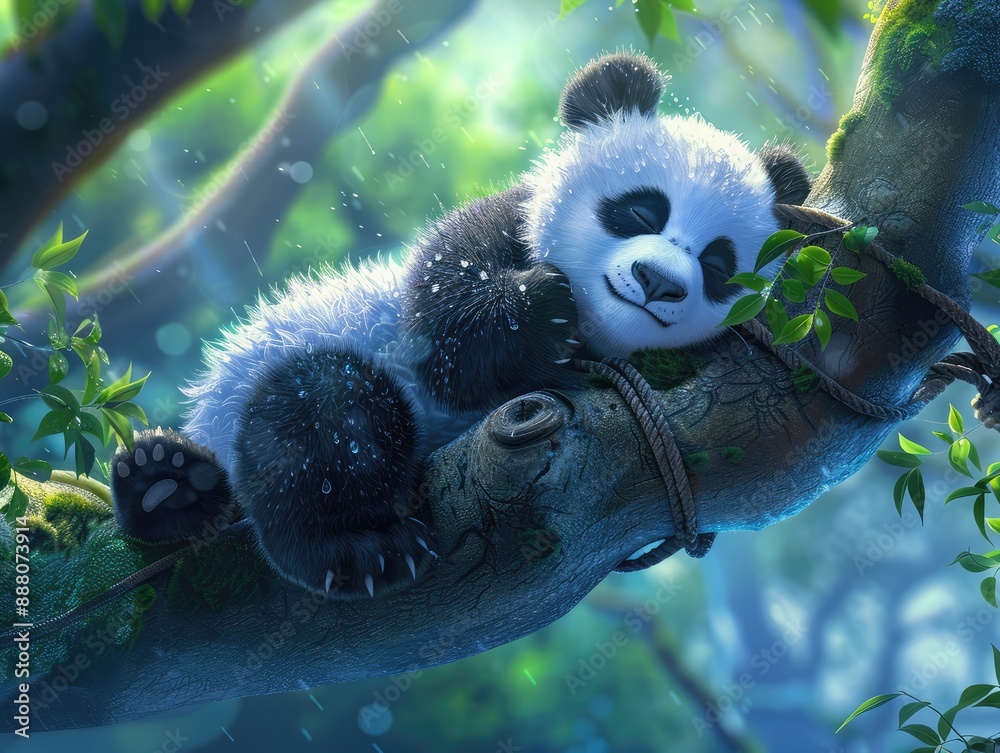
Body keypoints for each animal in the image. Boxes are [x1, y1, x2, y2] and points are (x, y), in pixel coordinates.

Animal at [110, 52, 811, 599]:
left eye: (717, 263)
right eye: (641, 209)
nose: (658, 281)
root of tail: (213, 417)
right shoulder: (494, 228)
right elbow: (448, 340)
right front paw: (541, 307)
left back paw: (169, 484)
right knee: (326, 409)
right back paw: (350, 543)